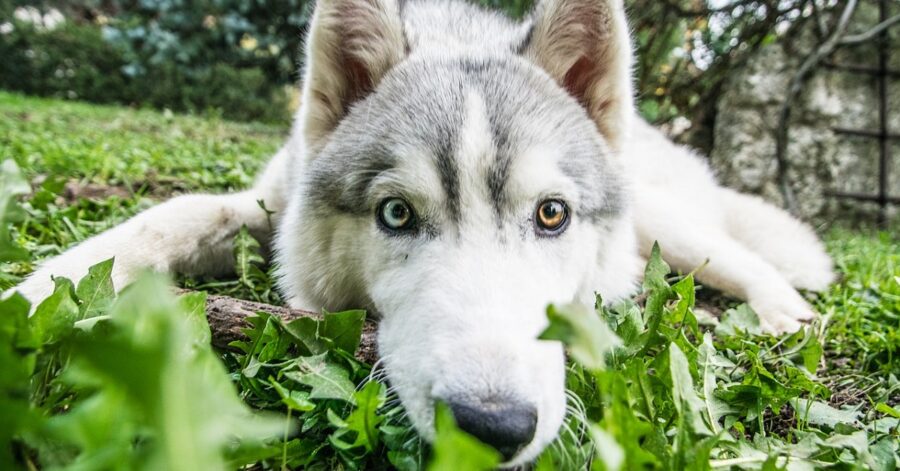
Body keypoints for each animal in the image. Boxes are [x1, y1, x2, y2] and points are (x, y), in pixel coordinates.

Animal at [14, 0, 832, 464]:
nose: (491, 426)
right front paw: (37, 293)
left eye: (552, 214)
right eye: (396, 214)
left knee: (742, 258)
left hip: (666, 223)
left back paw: (782, 316)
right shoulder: (266, 205)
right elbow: (172, 213)